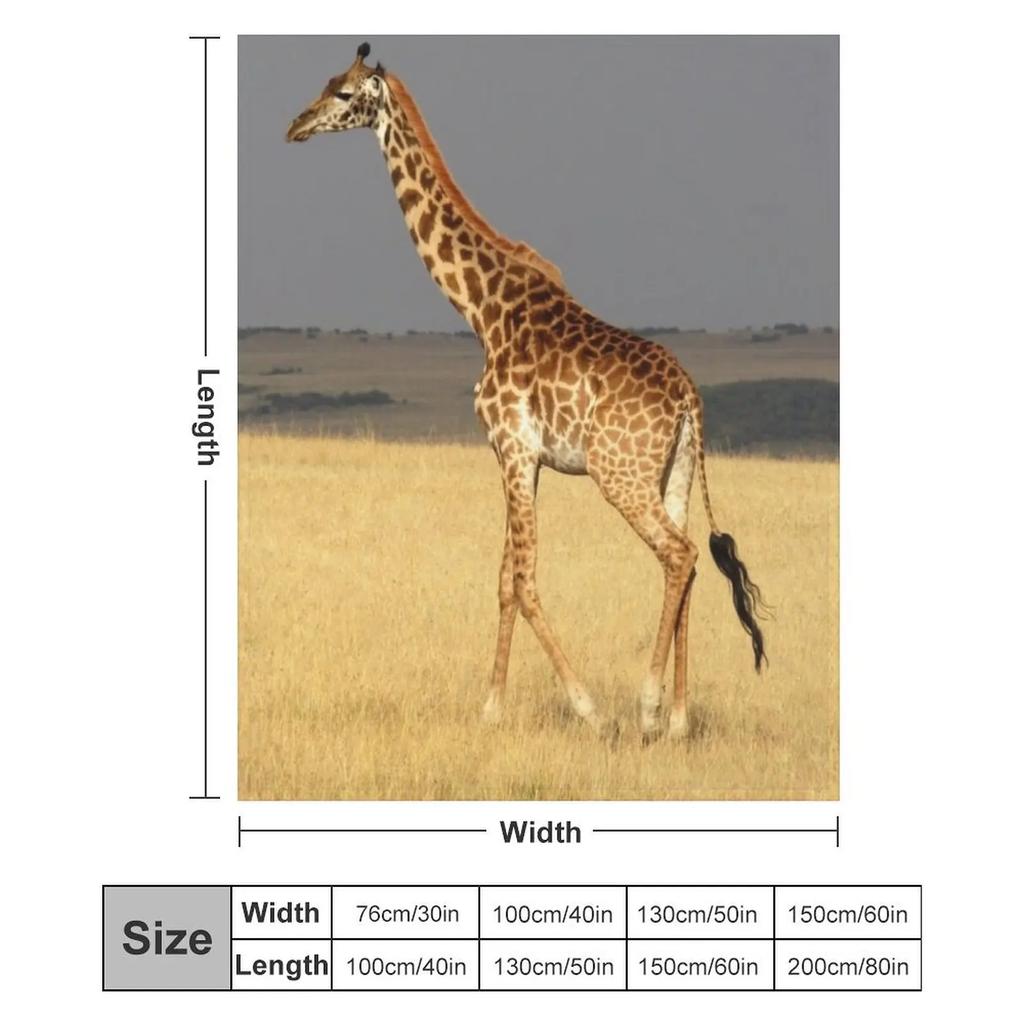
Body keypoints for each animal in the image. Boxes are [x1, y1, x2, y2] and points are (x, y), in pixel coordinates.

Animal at [287, 43, 766, 742]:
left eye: (345, 94)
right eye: (324, 84)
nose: (295, 126)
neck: (481, 308)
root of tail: (688, 400)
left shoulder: (511, 445)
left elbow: (525, 577)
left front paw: (588, 709)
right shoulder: (518, 455)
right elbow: (505, 580)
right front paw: (490, 708)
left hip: (619, 473)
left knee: (677, 556)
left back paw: (647, 707)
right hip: (673, 473)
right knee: (688, 563)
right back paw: (678, 721)